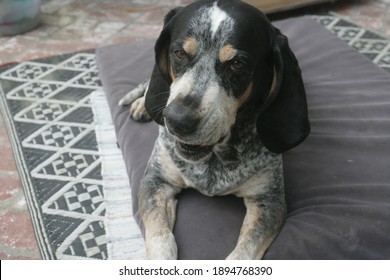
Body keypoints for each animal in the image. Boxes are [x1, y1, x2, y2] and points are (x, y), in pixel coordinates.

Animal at [119, 0, 310, 260]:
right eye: (179, 53)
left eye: (237, 64)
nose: (177, 120)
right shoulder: (155, 181)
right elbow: (162, 240)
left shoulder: (269, 201)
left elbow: (244, 253)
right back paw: (143, 104)